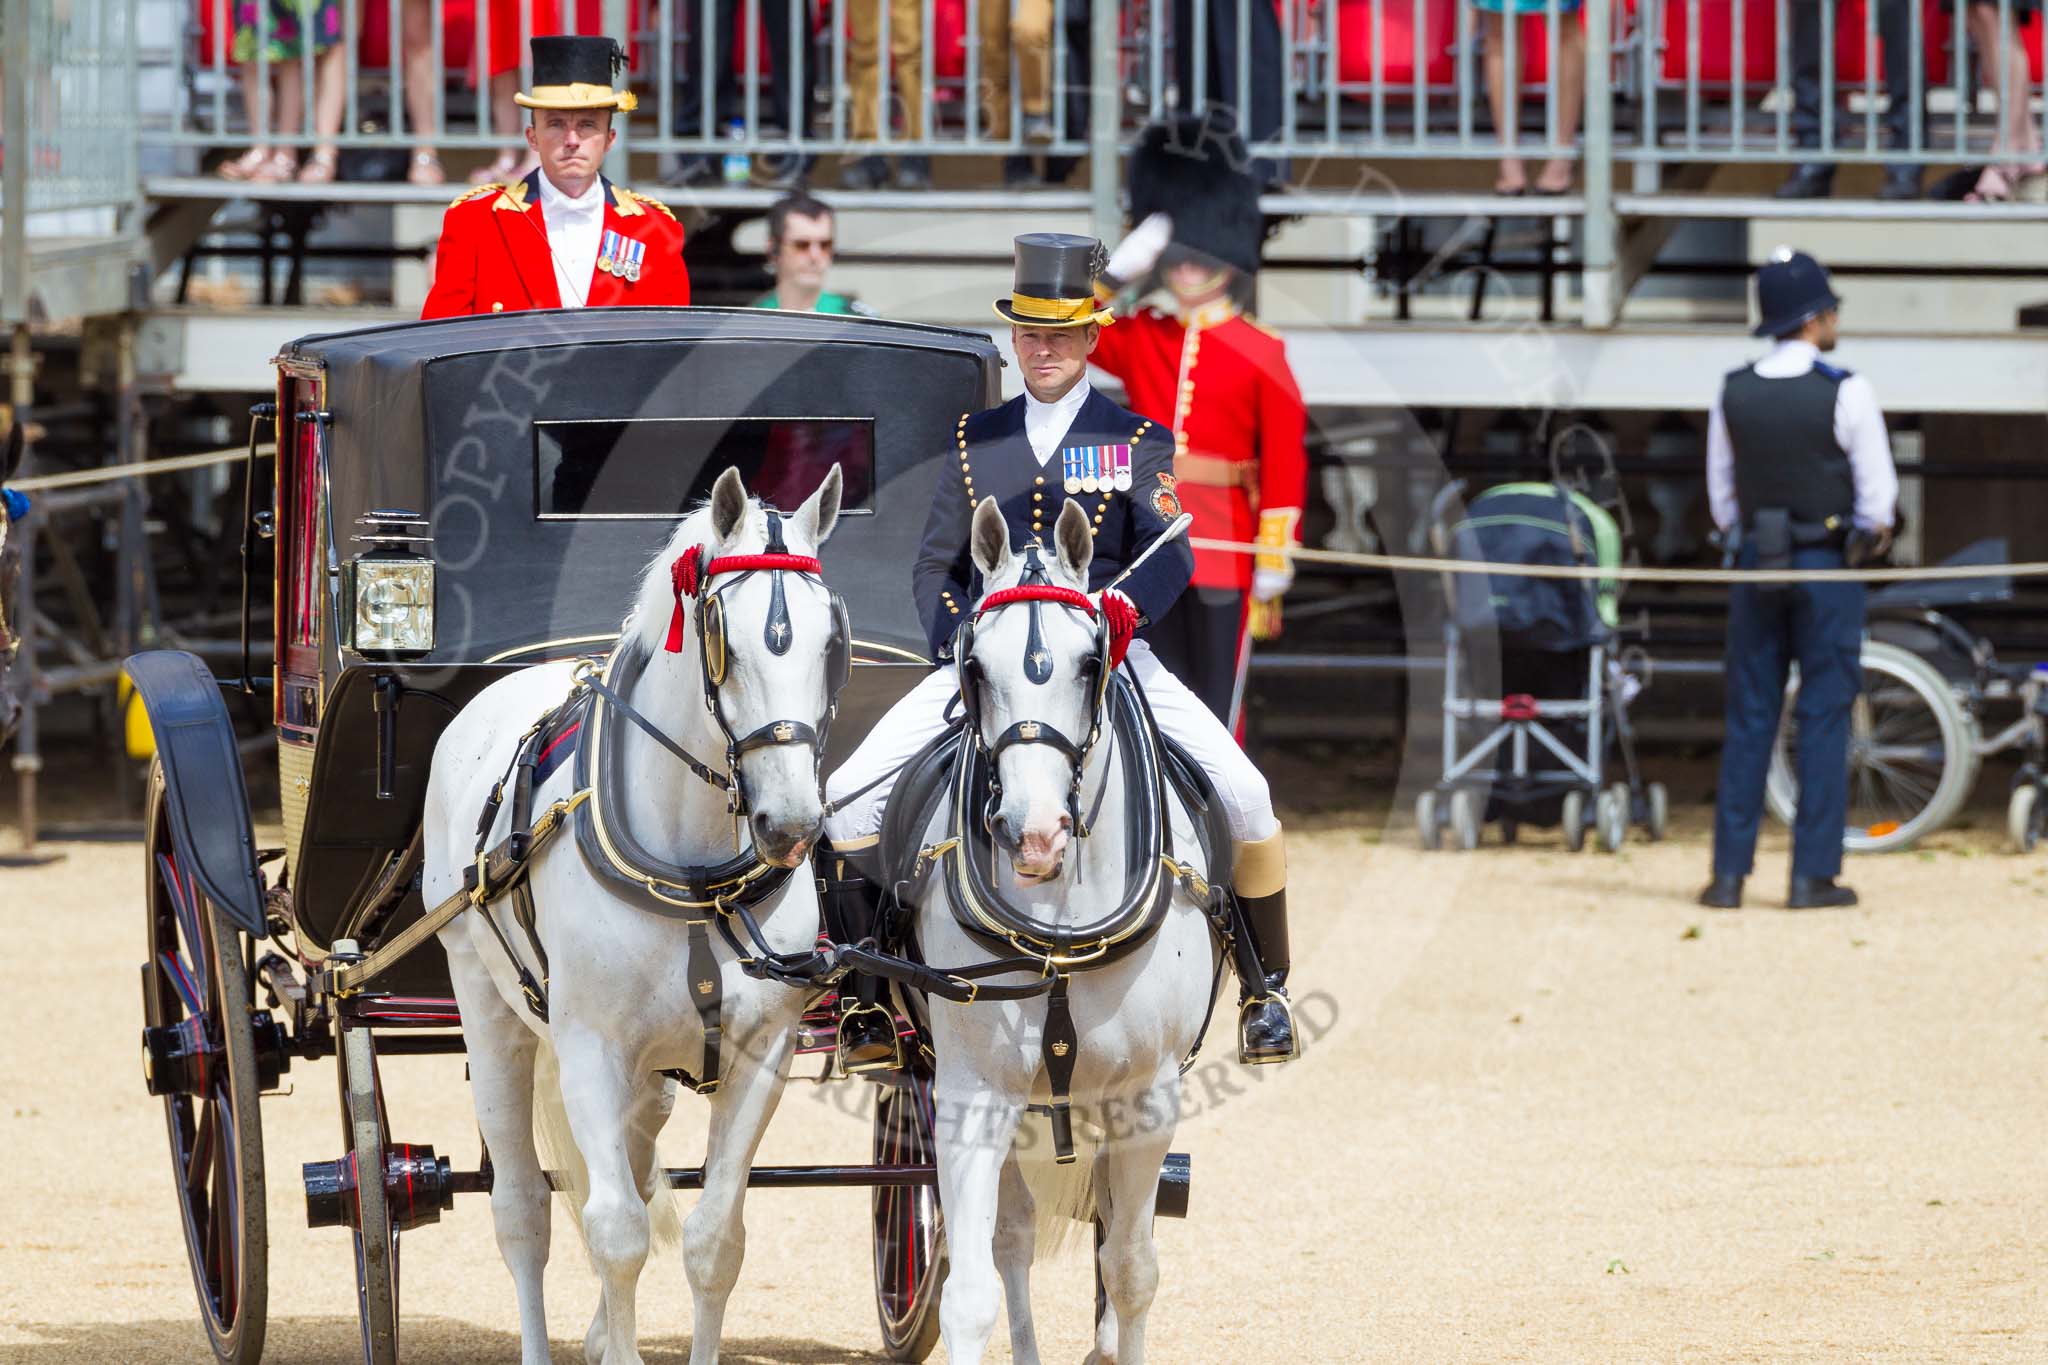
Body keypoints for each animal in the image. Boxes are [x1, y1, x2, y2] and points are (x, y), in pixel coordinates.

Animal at [419, 464, 843, 1358]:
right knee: (525, 1208)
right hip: (487, 1003)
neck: (693, 872)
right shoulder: (589, 1046)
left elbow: (713, 1241)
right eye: (726, 642)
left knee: (636, 1172)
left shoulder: (762, 1053)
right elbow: (613, 1232)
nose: (790, 825)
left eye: (831, 643)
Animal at [913, 499, 1212, 1365]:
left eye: (1088, 662)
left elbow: (1133, 1270)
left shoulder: (1146, 1099)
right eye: (975, 668)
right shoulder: (972, 1095)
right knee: (1010, 1239)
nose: (1035, 834)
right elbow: (970, 1291)